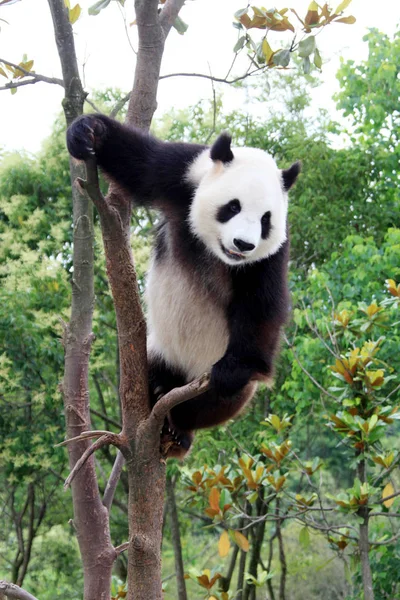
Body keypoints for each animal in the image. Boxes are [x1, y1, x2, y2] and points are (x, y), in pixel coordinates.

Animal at [66, 115, 300, 458]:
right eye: (232, 207)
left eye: (265, 220)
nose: (243, 244)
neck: (216, 251)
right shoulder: (182, 173)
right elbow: (139, 162)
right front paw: (88, 132)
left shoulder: (271, 255)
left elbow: (262, 303)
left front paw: (233, 370)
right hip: (159, 350)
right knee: (150, 370)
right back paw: (158, 394)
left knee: (213, 404)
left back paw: (180, 430)